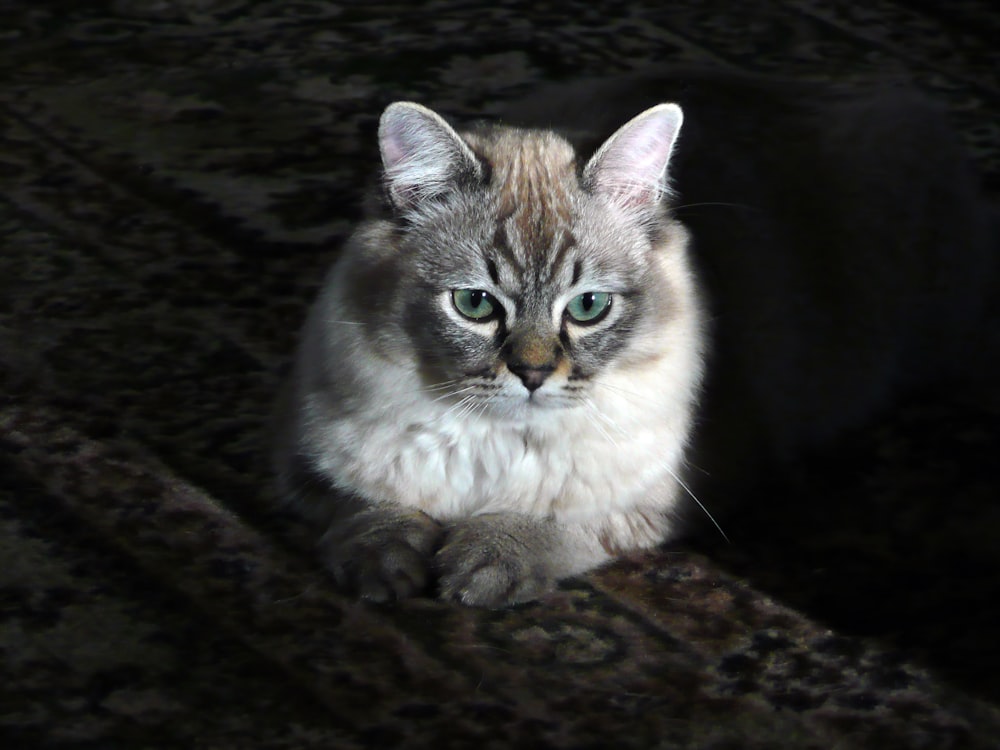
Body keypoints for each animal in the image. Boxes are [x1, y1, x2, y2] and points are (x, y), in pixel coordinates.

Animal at [270, 69, 996, 612]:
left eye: (588, 308)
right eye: (475, 305)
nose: (533, 375)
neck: (499, 445)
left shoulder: (665, 497)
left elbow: (555, 524)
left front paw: (482, 565)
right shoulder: (311, 465)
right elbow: (370, 511)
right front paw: (387, 568)